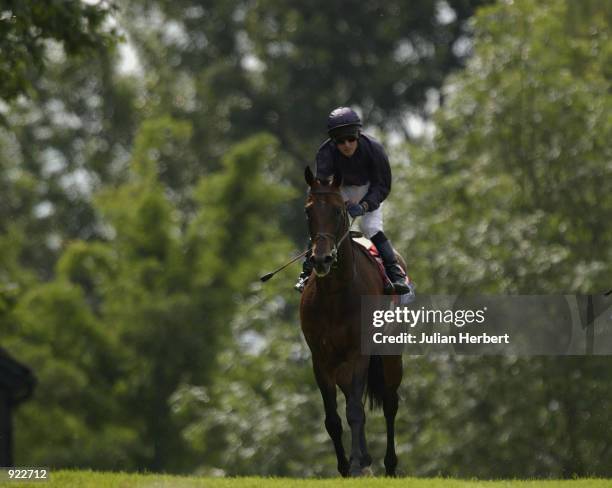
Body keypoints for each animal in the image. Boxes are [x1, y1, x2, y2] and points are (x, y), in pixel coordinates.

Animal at [300, 167, 404, 476]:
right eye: (308, 211)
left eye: (338, 211)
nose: (321, 259)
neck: (335, 293)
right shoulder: (320, 358)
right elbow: (333, 418)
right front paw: (345, 466)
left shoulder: (358, 353)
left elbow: (356, 411)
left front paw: (357, 462)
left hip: (390, 354)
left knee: (390, 403)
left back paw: (389, 465)